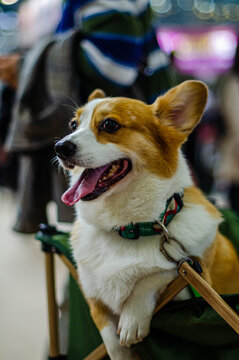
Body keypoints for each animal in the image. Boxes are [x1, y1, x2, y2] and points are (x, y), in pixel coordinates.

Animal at [55, 81, 239, 360]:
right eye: (73, 125)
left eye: (110, 125)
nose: (59, 147)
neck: (127, 227)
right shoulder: (92, 294)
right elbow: (110, 340)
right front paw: (120, 349)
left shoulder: (193, 278)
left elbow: (156, 274)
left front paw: (132, 318)